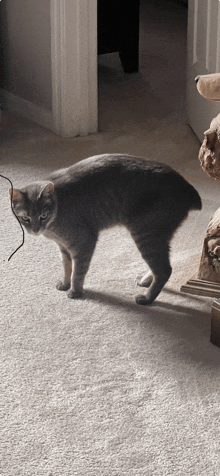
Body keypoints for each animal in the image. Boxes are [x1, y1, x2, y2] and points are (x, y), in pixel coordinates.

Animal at [9, 156, 201, 304]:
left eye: (43, 216)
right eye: (25, 218)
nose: (35, 230)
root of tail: (188, 187)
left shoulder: (84, 242)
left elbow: (78, 271)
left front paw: (75, 291)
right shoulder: (63, 247)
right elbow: (67, 267)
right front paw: (64, 283)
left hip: (147, 235)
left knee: (164, 270)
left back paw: (147, 298)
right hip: (157, 237)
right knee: (162, 266)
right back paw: (146, 280)